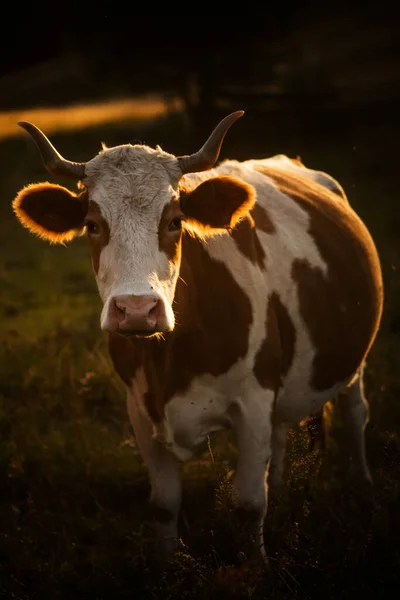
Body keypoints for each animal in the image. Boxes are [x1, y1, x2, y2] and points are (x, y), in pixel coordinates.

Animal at [11, 112, 382, 564]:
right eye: (92, 225)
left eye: (174, 222)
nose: (137, 308)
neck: (169, 362)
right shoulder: (140, 409)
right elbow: (164, 503)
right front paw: (169, 566)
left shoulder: (253, 401)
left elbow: (248, 504)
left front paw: (255, 569)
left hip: (354, 360)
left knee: (355, 413)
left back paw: (363, 488)